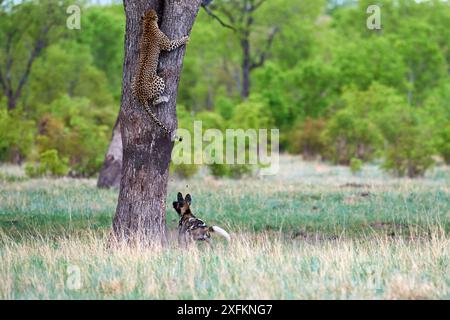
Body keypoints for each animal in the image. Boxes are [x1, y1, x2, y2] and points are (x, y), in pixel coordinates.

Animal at [134, 9, 190, 140]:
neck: (148, 24)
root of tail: (141, 96)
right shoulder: (167, 45)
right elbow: (175, 43)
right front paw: (185, 39)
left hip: (133, 81)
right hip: (159, 80)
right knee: (154, 101)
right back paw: (165, 98)